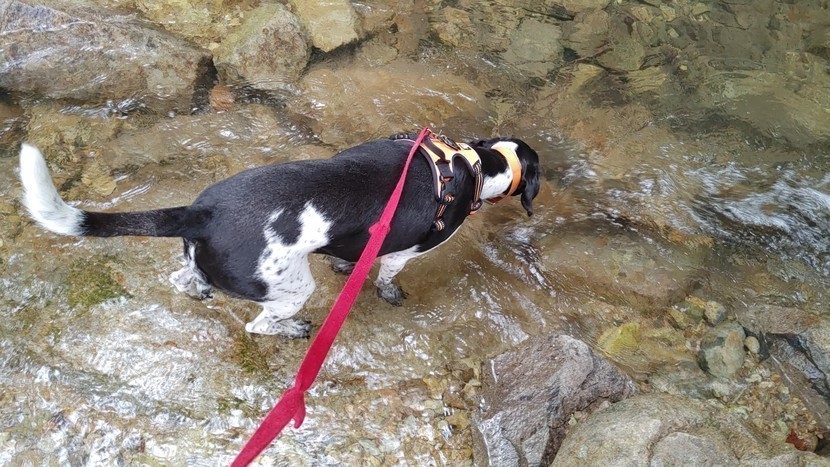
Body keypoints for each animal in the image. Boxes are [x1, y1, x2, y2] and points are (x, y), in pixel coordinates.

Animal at [19, 132, 541, 338]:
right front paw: (389, 293)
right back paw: (291, 330)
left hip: (203, 262)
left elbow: (352, 260)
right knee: (260, 326)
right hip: (290, 288)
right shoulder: (404, 251)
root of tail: (201, 212)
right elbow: (387, 277)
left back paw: (200, 291)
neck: (474, 163)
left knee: (183, 281)